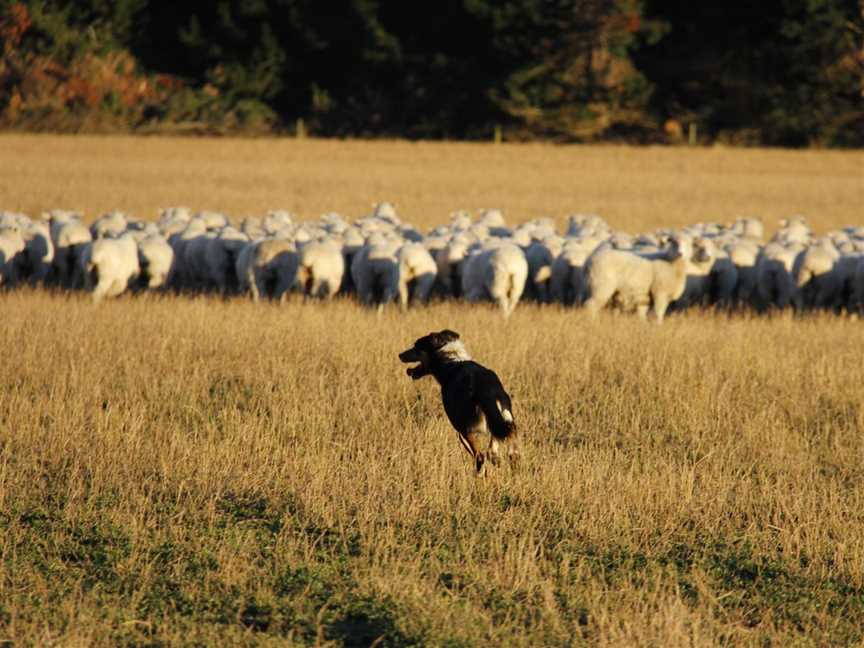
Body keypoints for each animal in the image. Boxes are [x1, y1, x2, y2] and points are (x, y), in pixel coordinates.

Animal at [400, 330, 520, 476]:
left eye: (416, 346)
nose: (400, 355)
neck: (450, 361)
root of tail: (486, 390)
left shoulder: (460, 430)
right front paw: (496, 459)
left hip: (466, 429)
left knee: (480, 456)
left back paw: (479, 474)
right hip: (504, 417)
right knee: (510, 444)